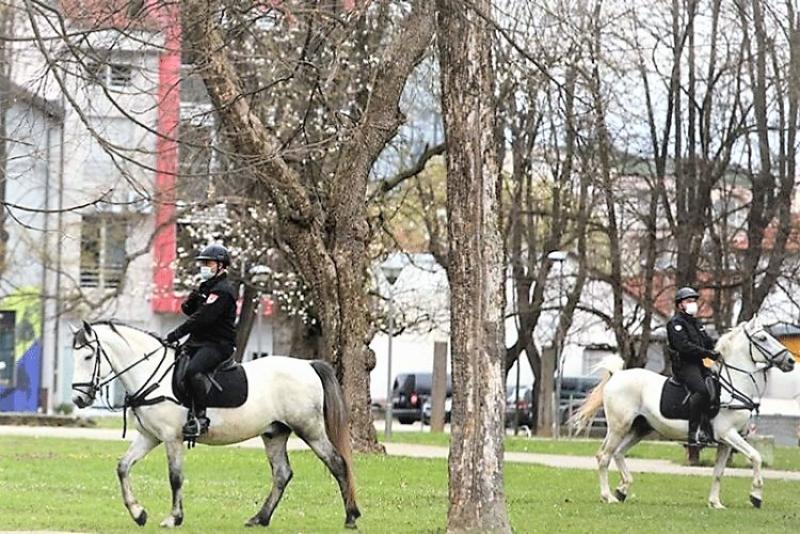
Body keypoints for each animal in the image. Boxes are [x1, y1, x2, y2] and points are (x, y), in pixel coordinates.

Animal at [72, 320, 360, 528]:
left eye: (88, 357)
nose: (78, 398)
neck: (153, 376)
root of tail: (308, 365)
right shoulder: (149, 437)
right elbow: (123, 467)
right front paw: (138, 513)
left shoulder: (171, 438)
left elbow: (175, 477)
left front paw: (173, 518)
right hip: (274, 433)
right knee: (282, 474)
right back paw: (260, 518)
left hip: (310, 430)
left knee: (337, 463)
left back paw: (351, 517)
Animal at [576, 318, 792, 510]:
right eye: (762, 338)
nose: (790, 361)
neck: (731, 387)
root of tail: (617, 375)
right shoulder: (728, 434)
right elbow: (756, 456)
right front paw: (756, 496)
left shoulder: (725, 442)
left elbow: (718, 472)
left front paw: (715, 503)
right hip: (618, 428)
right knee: (604, 456)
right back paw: (608, 496)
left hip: (639, 429)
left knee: (618, 453)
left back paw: (622, 489)